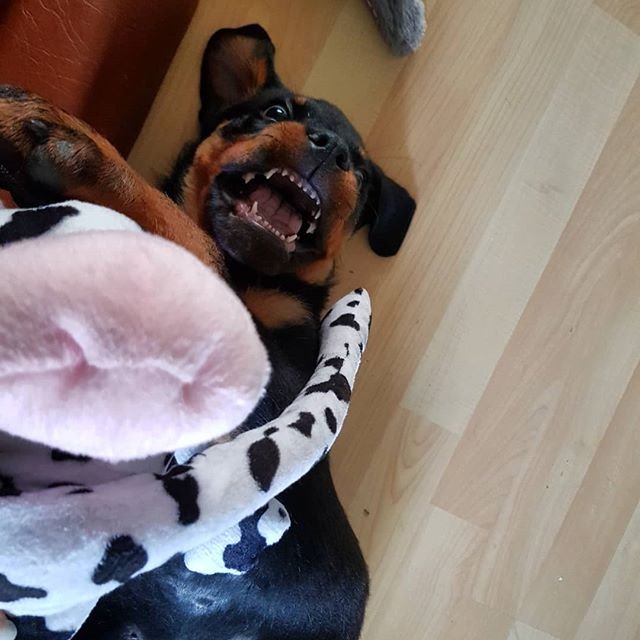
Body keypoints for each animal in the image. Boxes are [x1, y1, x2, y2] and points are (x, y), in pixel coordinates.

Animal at [0, 23, 416, 640]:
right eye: (275, 111)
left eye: (361, 176)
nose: (332, 149)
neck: (253, 276)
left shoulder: (274, 382)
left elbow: (194, 246)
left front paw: (74, 149)